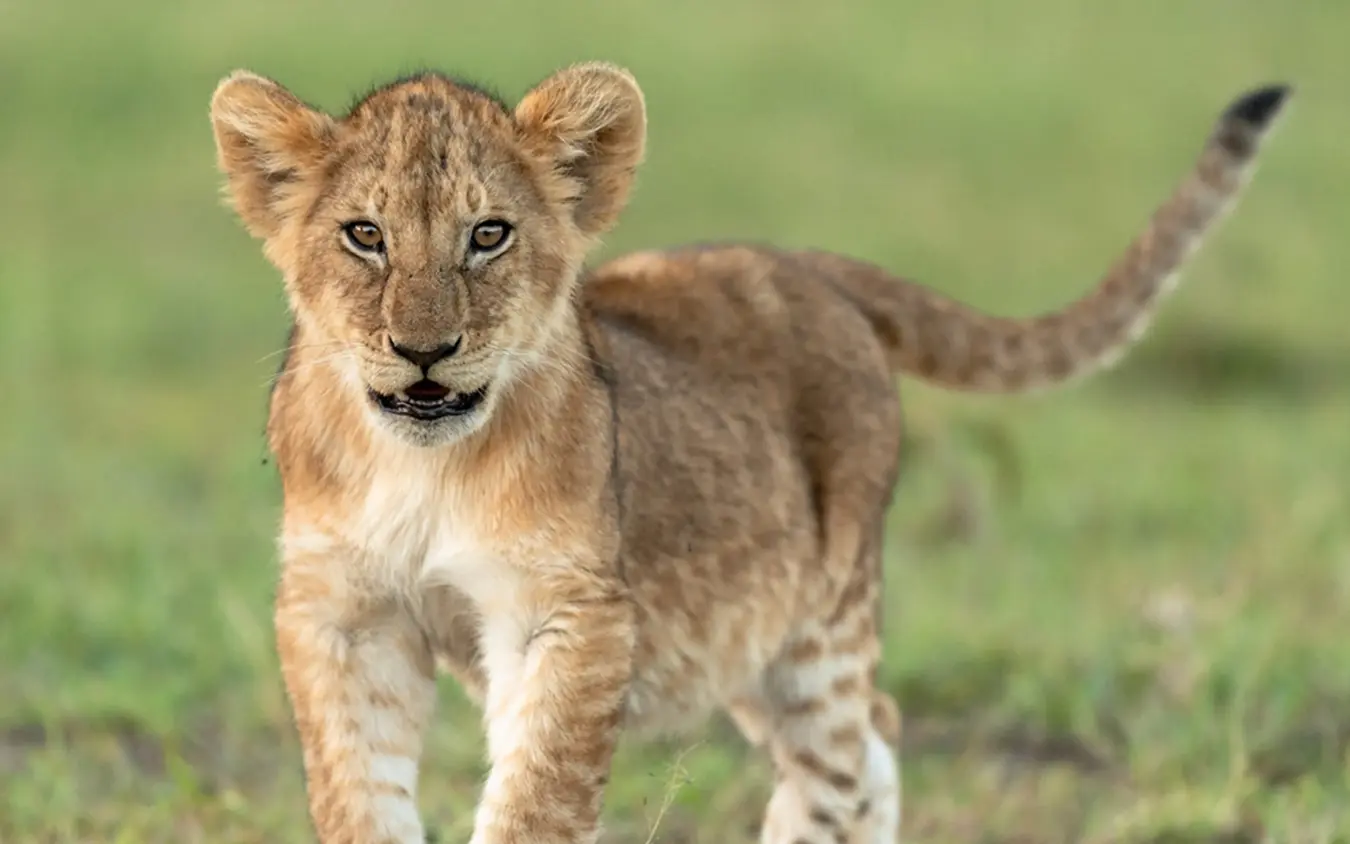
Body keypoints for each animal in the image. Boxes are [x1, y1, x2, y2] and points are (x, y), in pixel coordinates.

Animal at [208, 62, 1290, 844]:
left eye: (489, 234)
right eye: (364, 235)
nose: (424, 350)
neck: (424, 465)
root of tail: (807, 264)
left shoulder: (570, 616)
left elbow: (533, 802)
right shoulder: (344, 613)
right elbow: (358, 795)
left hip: (818, 619)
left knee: (852, 754)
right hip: (739, 641)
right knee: (869, 745)